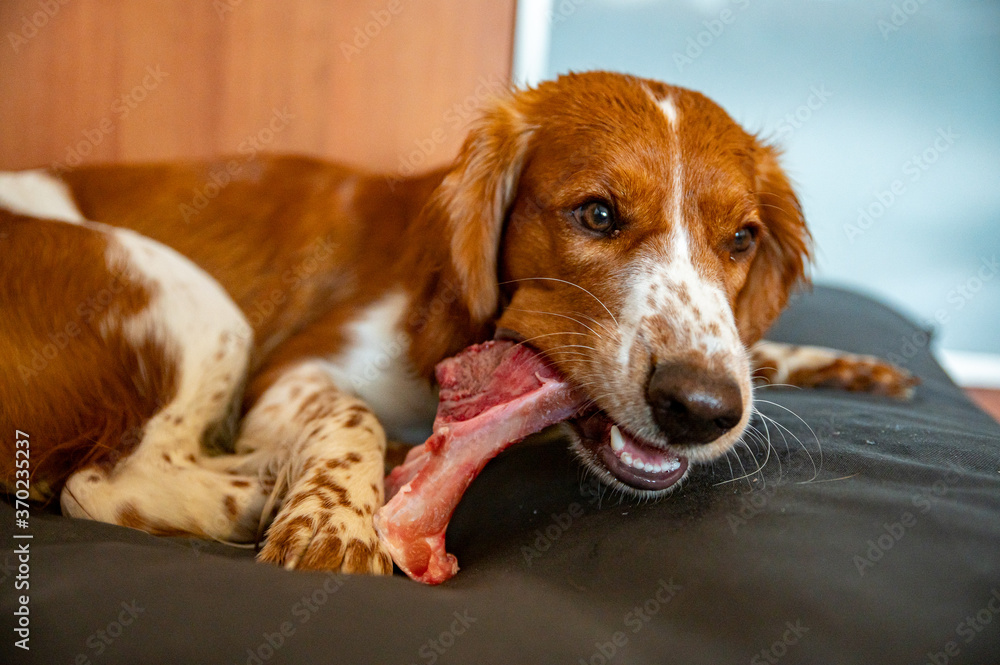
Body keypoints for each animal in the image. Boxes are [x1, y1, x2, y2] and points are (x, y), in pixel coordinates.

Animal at [0, 71, 916, 572]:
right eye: (596, 214)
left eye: (741, 239)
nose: (701, 409)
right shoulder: (292, 366)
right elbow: (352, 415)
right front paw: (334, 516)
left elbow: (757, 351)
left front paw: (842, 364)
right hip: (180, 288)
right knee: (99, 480)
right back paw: (258, 489)